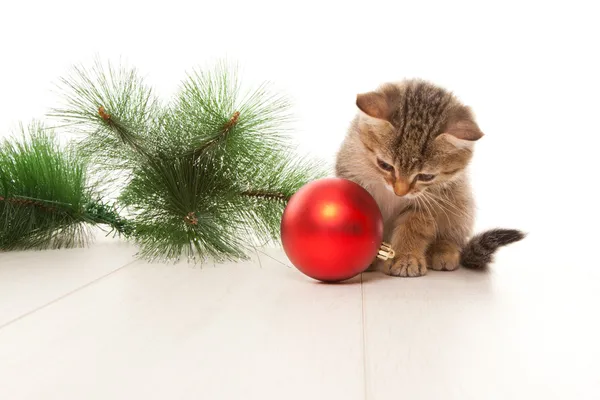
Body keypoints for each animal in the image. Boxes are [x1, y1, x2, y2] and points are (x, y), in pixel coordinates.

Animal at [336, 79, 524, 276]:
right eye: (385, 165)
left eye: (425, 176)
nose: (400, 192)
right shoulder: (352, 175)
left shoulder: (432, 198)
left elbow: (415, 226)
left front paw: (407, 257)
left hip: (460, 200)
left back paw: (443, 250)